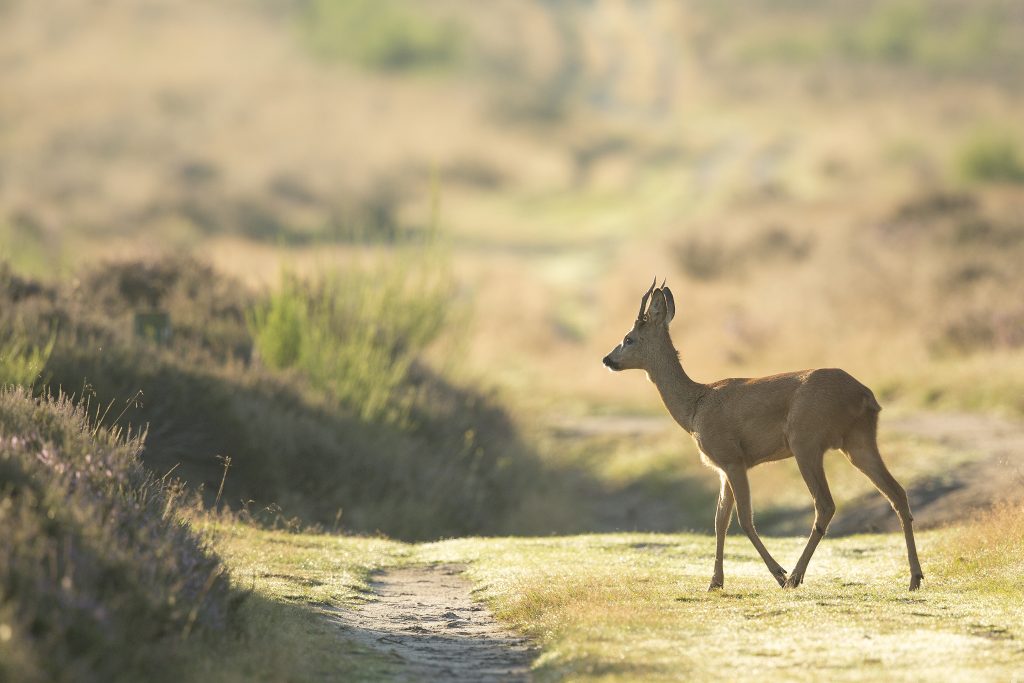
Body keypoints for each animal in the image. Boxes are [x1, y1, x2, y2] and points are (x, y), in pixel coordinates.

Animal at [602, 280, 925, 589]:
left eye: (629, 339)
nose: (607, 359)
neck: (695, 407)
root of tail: (864, 395)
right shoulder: (723, 467)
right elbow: (720, 521)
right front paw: (715, 582)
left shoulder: (732, 458)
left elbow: (744, 519)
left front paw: (777, 574)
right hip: (859, 441)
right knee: (897, 493)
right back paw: (914, 578)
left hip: (806, 441)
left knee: (825, 504)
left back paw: (794, 577)